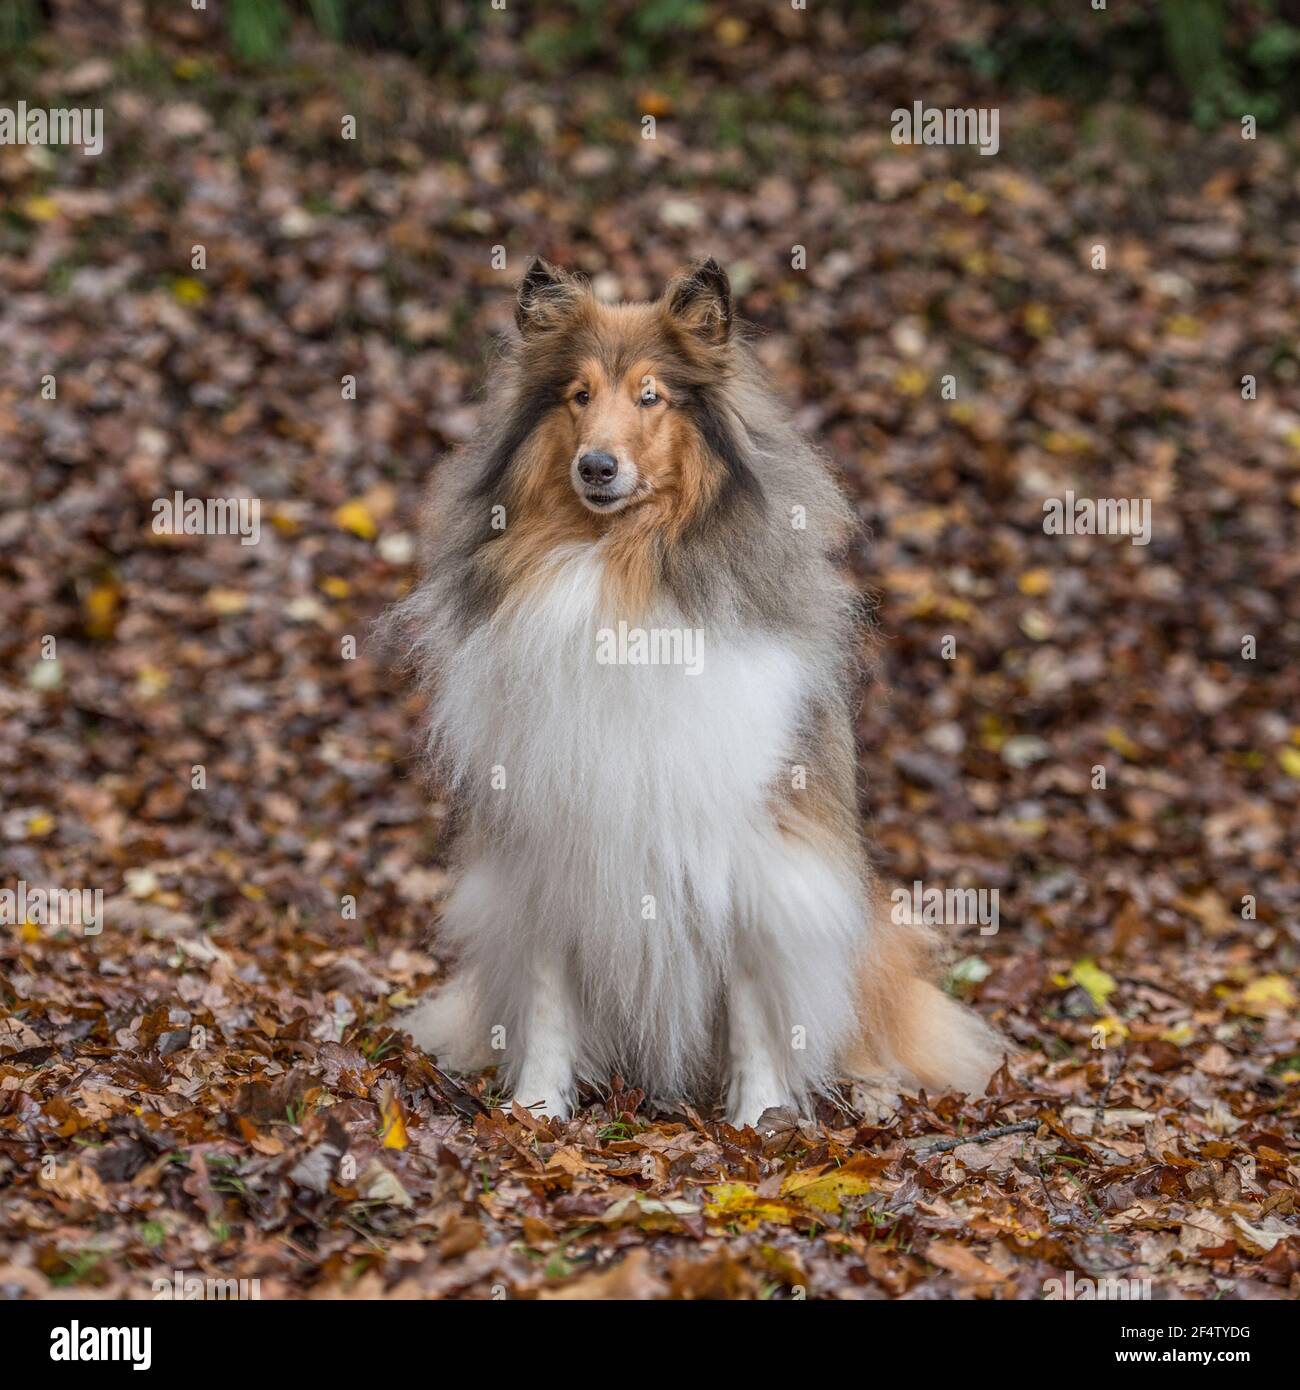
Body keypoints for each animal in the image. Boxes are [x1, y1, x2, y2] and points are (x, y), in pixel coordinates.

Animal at [392, 258, 1001, 1128]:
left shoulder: (748, 850)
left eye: (651, 395)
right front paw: (537, 1108)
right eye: (578, 394)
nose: (596, 467)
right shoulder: (545, 843)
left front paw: (757, 1120)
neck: (619, 575)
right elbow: (547, 990)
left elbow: (751, 993)